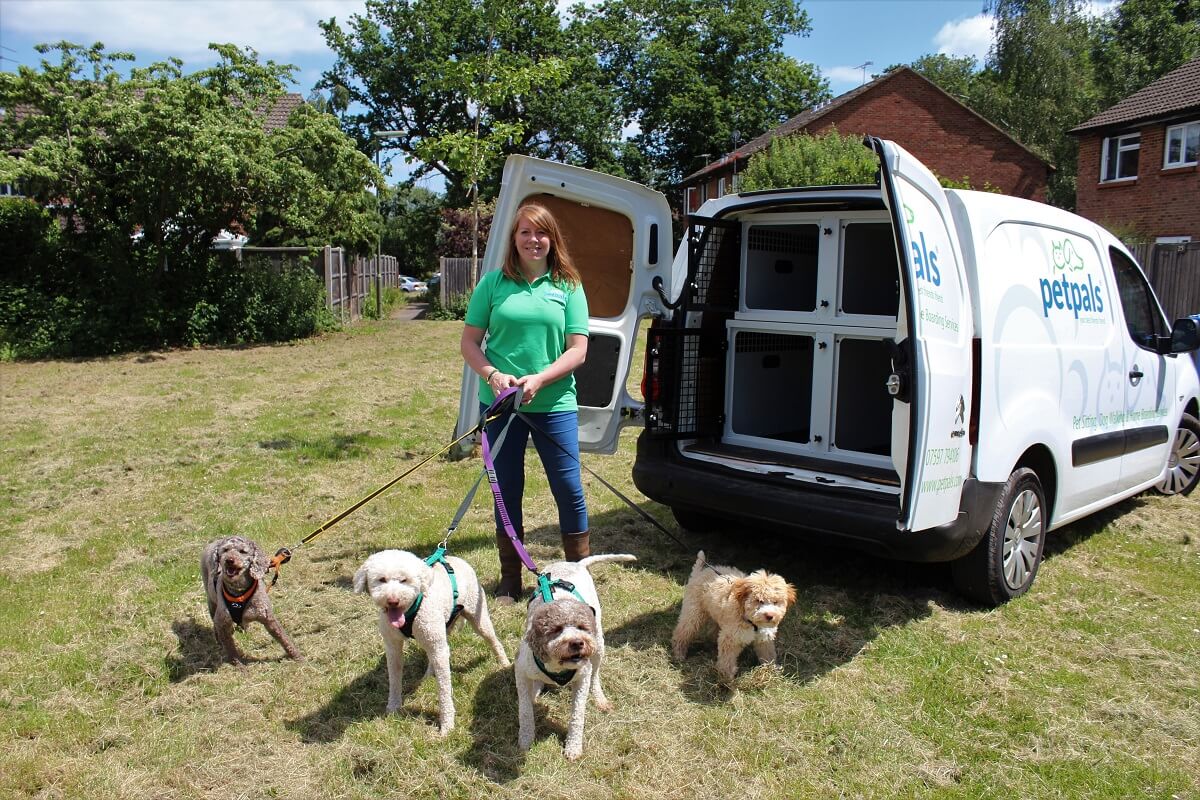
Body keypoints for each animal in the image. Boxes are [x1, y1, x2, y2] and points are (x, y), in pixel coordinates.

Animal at [672, 551, 792, 681]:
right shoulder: (731, 638)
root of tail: (700, 572)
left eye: (775, 602)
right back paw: (678, 653)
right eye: (759, 600)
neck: (752, 622)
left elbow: (768, 654)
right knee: (683, 632)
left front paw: (772, 669)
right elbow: (727, 659)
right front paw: (726, 677)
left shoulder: (764, 638)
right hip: (693, 613)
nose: (770, 616)